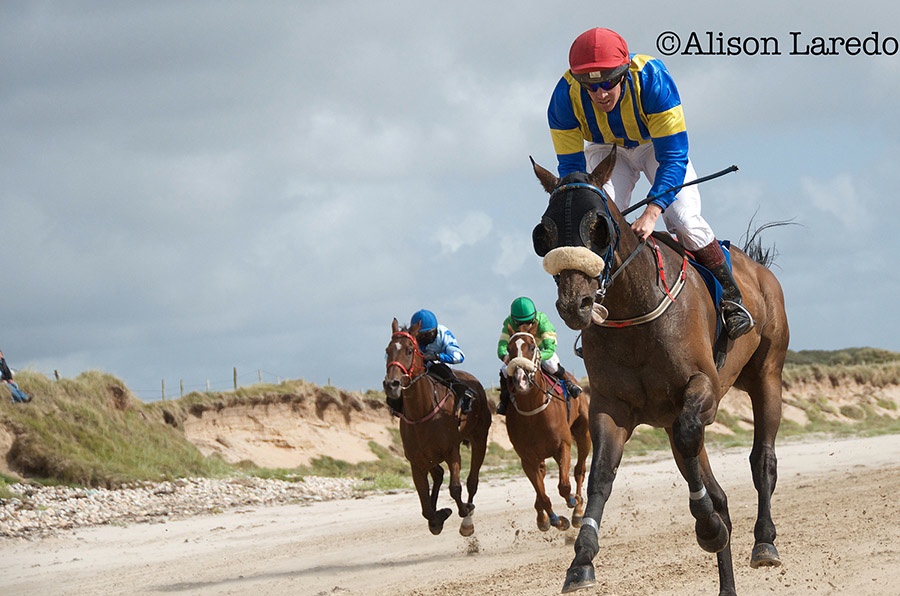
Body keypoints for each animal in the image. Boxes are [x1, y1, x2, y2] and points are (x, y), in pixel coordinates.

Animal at [382, 318, 492, 536]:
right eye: (387, 350)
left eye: (409, 350)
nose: (392, 384)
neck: (422, 412)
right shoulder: (416, 461)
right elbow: (425, 505)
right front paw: (438, 517)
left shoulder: (452, 451)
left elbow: (455, 488)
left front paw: (463, 515)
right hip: (429, 456)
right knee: (439, 474)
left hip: (480, 438)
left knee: (472, 481)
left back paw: (468, 513)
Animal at [532, 146, 792, 596]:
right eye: (543, 233)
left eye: (598, 227)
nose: (574, 304)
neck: (634, 306)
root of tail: (757, 268)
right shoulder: (612, 407)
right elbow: (601, 476)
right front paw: (581, 560)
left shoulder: (702, 389)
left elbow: (695, 443)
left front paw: (707, 526)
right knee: (718, 489)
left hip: (767, 376)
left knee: (763, 458)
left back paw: (764, 542)